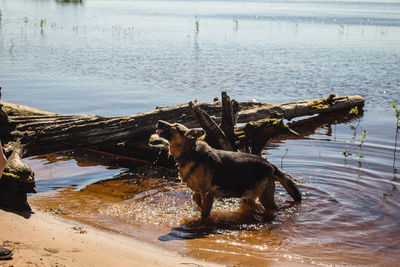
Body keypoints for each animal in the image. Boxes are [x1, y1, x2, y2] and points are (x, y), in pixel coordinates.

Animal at [155, 120, 302, 219]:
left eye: (175, 126)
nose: (158, 122)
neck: (190, 152)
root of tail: (271, 166)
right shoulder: (198, 192)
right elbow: (196, 200)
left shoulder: (207, 193)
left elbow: (204, 213)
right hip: (249, 197)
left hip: (266, 198)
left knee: (273, 208)